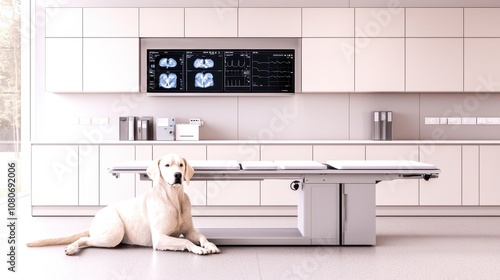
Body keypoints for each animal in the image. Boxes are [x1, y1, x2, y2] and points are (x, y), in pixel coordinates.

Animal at [27, 154, 221, 255]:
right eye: (167, 165)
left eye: (181, 165)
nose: (178, 175)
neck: (173, 199)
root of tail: (95, 219)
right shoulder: (160, 238)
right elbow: (185, 242)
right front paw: (197, 249)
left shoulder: (189, 231)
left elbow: (202, 236)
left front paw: (209, 245)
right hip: (114, 233)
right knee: (83, 239)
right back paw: (71, 247)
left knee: (88, 241)